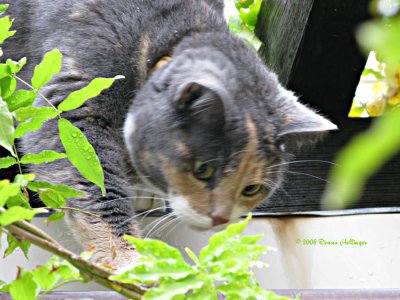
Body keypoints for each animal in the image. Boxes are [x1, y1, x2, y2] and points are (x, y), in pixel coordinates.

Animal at [3, 0, 336, 268]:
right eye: (203, 170)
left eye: (252, 189)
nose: (220, 218)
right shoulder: (72, 110)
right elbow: (96, 190)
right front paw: (129, 260)